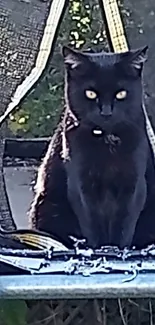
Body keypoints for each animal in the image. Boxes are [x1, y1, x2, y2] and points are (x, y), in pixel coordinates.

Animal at [29, 45, 155, 248]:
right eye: (90, 93)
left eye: (121, 93)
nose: (106, 112)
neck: (106, 141)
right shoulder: (81, 185)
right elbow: (92, 223)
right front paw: (99, 248)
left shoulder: (133, 183)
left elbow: (124, 224)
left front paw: (117, 249)